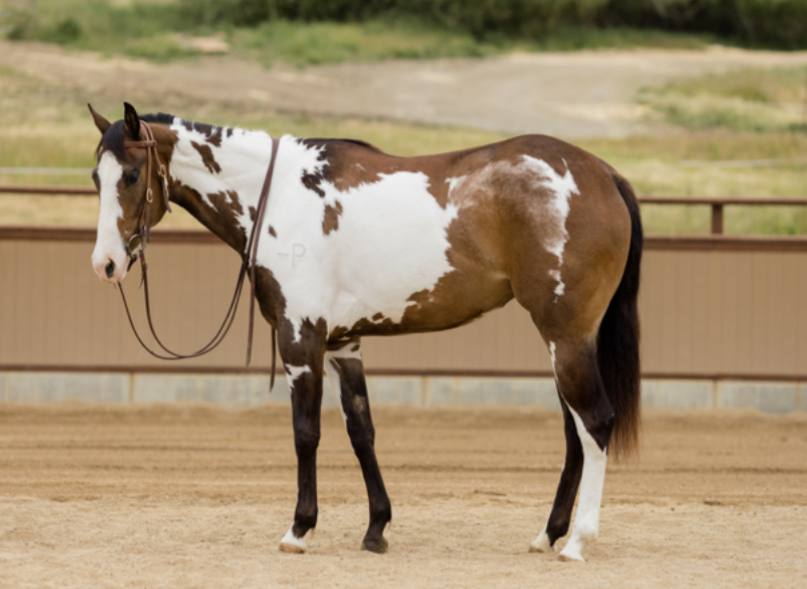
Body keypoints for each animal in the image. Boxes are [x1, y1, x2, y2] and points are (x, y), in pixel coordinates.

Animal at [88, 101, 644, 560]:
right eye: (96, 176)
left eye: (132, 175)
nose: (106, 264)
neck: (279, 196)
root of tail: (604, 174)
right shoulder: (343, 345)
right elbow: (362, 432)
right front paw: (377, 528)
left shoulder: (300, 340)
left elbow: (306, 433)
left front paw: (299, 529)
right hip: (563, 344)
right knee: (575, 435)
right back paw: (548, 535)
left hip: (565, 337)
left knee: (595, 424)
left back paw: (577, 543)